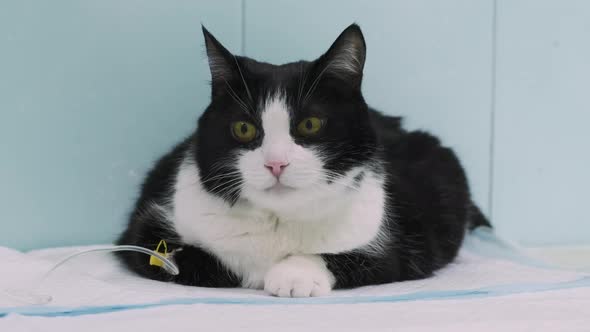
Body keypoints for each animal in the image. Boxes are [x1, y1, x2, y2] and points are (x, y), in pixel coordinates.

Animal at [115, 24, 490, 298]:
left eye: (310, 124)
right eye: (243, 128)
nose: (276, 163)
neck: (279, 221)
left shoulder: (405, 245)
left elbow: (369, 258)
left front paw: (295, 274)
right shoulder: (145, 227)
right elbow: (182, 259)